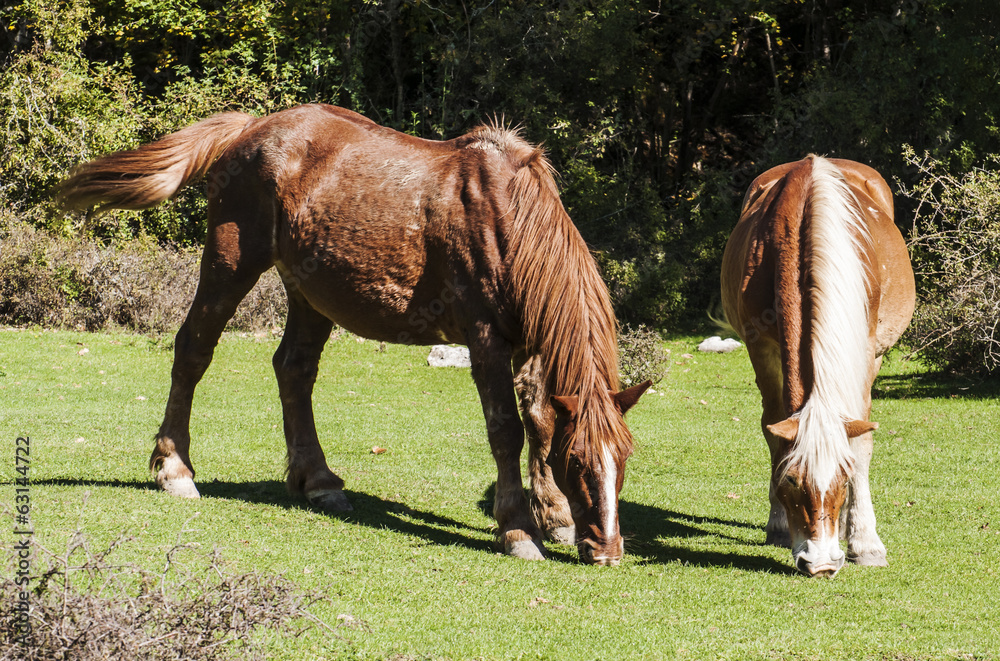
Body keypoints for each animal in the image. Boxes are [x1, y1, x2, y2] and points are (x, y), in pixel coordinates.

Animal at [58, 104, 650, 565]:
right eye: (580, 464)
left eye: (622, 460)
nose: (607, 550)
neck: (509, 220)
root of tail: (251, 128)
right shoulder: (486, 340)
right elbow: (506, 430)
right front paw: (519, 529)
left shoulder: (529, 343)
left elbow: (541, 421)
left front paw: (554, 517)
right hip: (231, 264)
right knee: (193, 351)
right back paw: (175, 469)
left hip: (311, 292)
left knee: (293, 369)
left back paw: (317, 481)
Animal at [720, 156, 914, 577]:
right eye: (791, 481)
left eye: (843, 478)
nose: (821, 563)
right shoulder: (761, 348)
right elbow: (774, 430)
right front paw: (779, 525)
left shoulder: (866, 353)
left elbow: (859, 441)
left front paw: (865, 541)